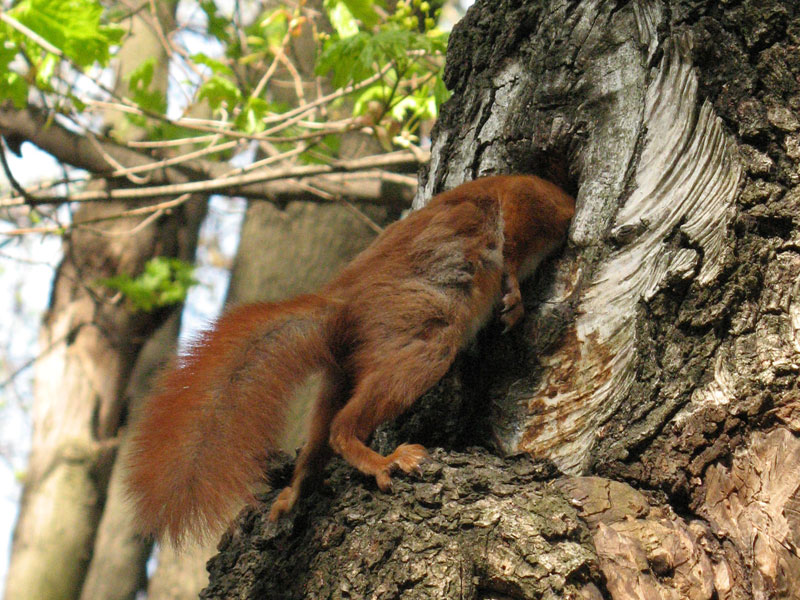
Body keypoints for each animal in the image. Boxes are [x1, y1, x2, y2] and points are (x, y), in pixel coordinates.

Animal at [123, 173, 576, 544]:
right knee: (342, 427)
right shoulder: (526, 200)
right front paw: (514, 296)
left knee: (320, 436)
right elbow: (512, 250)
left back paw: (293, 494)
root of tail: (342, 307)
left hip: (339, 376)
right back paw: (382, 461)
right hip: (421, 344)